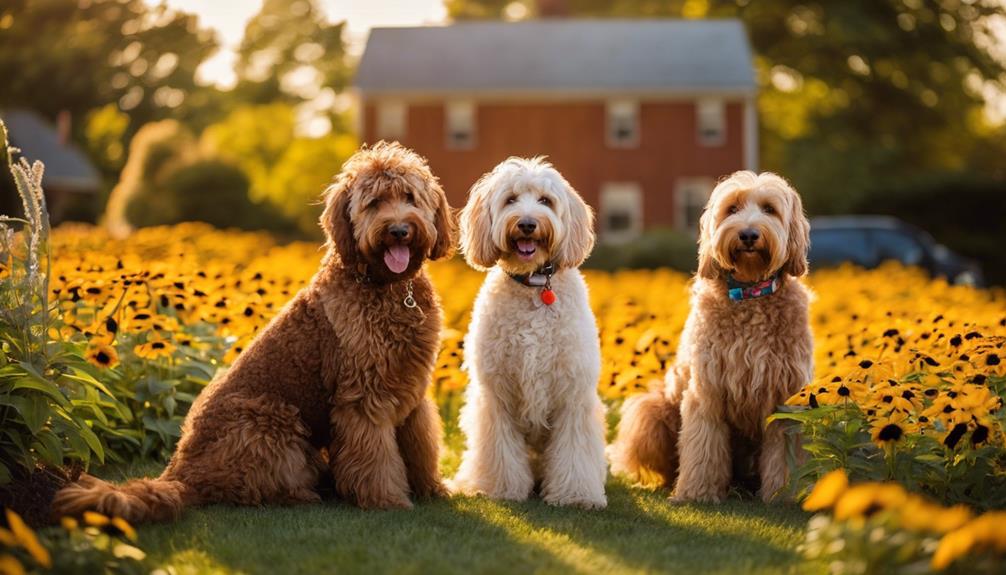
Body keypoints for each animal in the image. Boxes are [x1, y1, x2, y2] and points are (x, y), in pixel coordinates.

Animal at [55, 140, 456, 522]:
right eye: (374, 203)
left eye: (410, 197)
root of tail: (180, 472)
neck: (389, 288)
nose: (399, 230)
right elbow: (377, 456)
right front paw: (386, 501)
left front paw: (433, 489)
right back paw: (304, 494)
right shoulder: (363, 398)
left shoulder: (413, 391)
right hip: (270, 422)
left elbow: (421, 445)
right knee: (255, 486)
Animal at [454, 155, 603, 506]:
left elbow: (574, 450)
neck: (534, 285)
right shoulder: (496, 395)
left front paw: (576, 494)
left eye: (545, 201)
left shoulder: (573, 394)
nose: (526, 224)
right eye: (510, 200)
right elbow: (500, 450)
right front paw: (500, 488)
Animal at [607, 170, 812, 502]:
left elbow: (784, 456)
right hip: (650, 412)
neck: (749, 294)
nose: (748, 234)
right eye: (732, 208)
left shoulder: (785, 396)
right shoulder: (708, 390)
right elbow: (704, 447)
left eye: (769, 209)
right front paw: (697, 493)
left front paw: (783, 494)